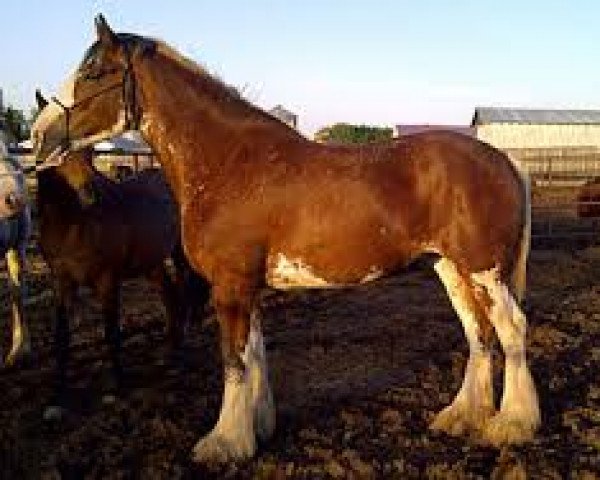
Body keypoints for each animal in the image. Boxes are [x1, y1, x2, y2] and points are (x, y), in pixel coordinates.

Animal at [35, 90, 210, 412]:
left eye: (90, 146)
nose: (90, 195)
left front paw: (118, 384)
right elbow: (62, 338)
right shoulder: (61, 282)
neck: (73, 225)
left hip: (179, 256)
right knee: (169, 298)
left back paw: (181, 349)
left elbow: (111, 332)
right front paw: (58, 394)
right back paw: (170, 351)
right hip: (152, 264)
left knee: (184, 294)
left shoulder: (107, 280)